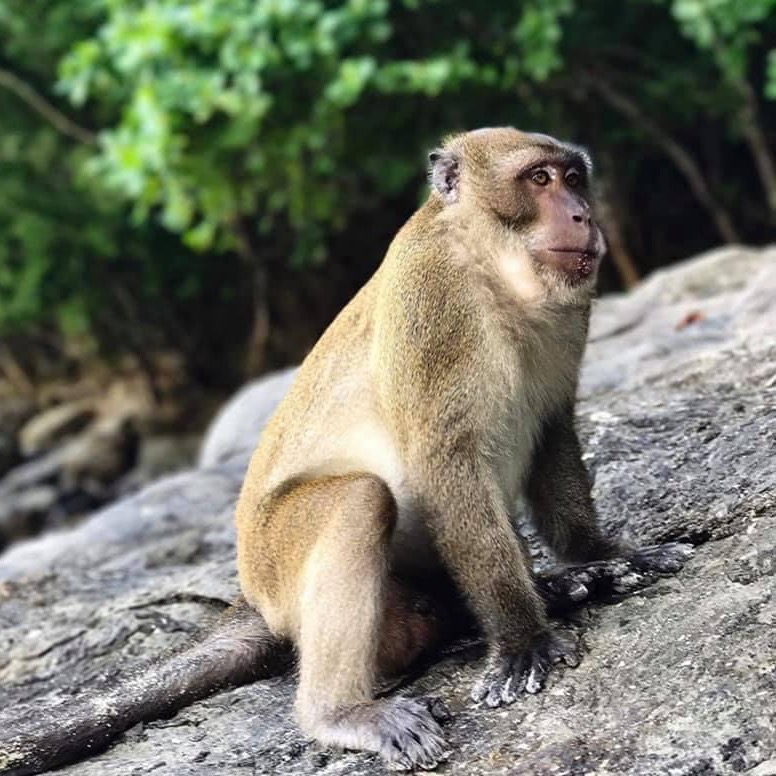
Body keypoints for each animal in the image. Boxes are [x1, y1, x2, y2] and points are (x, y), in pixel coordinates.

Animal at [0, 127, 692, 775]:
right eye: (540, 178)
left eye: (574, 178)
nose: (582, 215)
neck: (490, 268)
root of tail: (256, 599)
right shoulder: (432, 303)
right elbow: (445, 462)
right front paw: (522, 639)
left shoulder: (567, 311)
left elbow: (551, 431)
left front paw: (599, 554)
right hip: (281, 564)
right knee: (360, 498)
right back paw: (340, 712)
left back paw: (556, 586)